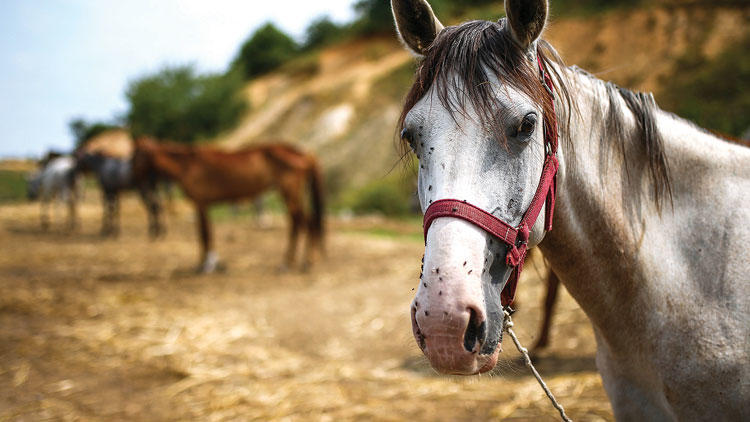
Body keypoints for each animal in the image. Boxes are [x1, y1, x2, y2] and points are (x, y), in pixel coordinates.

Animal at [133, 137, 326, 272]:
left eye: (136, 155)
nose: (134, 179)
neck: (189, 164)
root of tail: (303, 153)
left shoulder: (201, 204)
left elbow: (205, 234)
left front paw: (206, 265)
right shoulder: (203, 206)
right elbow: (205, 234)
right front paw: (207, 264)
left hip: (290, 193)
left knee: (304, 223)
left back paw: (302, 262)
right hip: (292, 195)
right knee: (301, 223)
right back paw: (293, 262)